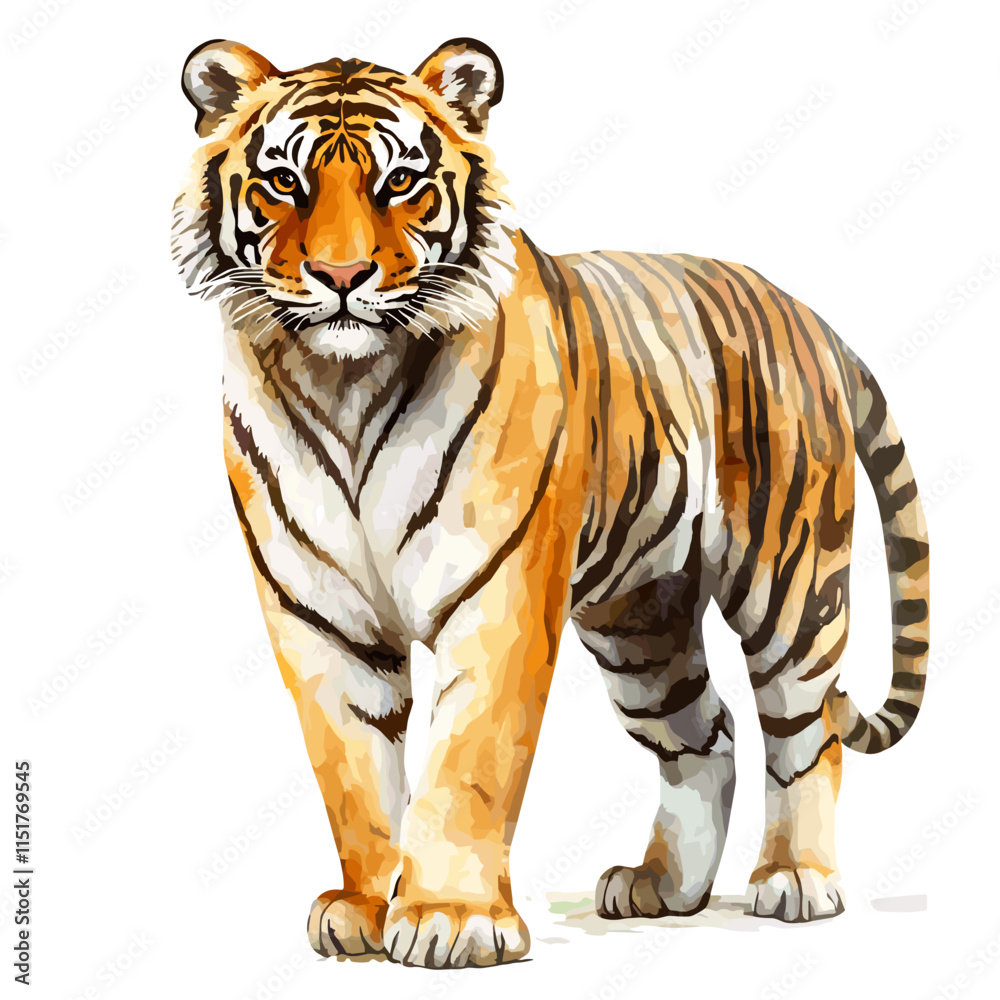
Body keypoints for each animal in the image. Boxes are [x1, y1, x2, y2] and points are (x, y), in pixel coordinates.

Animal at [172, 37, 930, 968]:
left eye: (399, 182)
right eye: (284, 182)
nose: (341, 275)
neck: (345, 382)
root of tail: (810, 317)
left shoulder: (498, 591)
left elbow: (468, 759)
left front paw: (449, 919)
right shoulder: (316, 615)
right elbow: (350, 768)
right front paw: (363, 908)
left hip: (789, 585)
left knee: (807, 729)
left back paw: (797, 878)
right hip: (642, 621)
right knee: (706, 731)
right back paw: (662, 887)